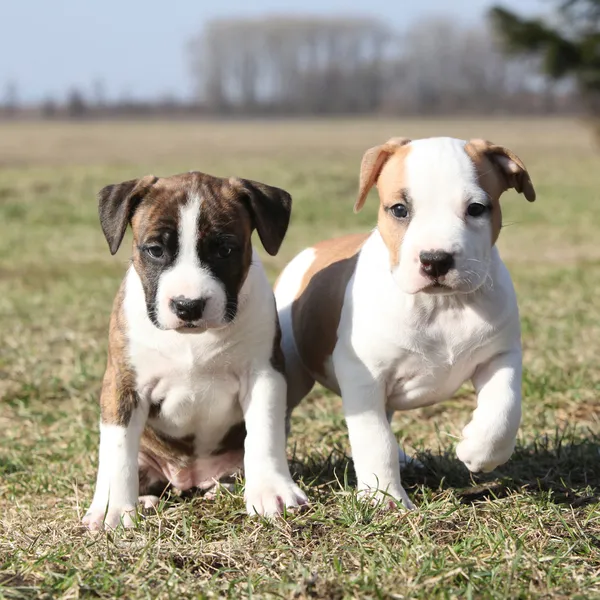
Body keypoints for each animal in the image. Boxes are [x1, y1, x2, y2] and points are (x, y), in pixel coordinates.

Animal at [82, 170, 308, 528]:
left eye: (226, 250)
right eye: (155, 250)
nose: (188, 306)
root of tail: (189, 478)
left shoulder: (264, 375)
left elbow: (264, 432)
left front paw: (272, 491)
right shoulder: (123, 384)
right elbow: (117, 451)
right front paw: (111, 510)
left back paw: (225, 488)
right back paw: (145, 501)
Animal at [276, 138, 536, 508]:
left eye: (476, 209)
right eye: (399, 210)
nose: (435, 259)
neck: (442, 305)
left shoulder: (501, 356)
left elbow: (504, 408)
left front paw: (479, 451)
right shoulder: (364, 375)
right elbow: (374, 439)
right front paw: (383, 496)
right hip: (294, 369)